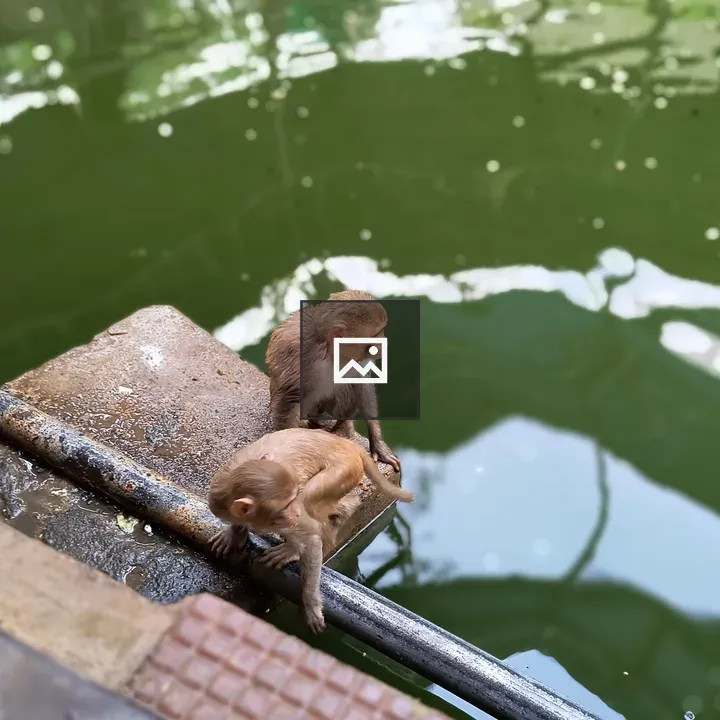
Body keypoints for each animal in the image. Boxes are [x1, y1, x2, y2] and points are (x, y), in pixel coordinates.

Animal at [207, 428, 414, 632]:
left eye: (291, 500)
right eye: (284, 507)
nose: (295, 513)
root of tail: (347, 443)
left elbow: (311, 538)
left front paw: (310, 604)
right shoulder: (217, 499)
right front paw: (234, 534)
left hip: (343, 470)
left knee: (311, 499)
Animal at [265, 289, 401, 473]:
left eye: (381, 332)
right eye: (374, 337)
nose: (382, 347)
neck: (330, 351)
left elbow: (361, 381)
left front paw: (378, 445)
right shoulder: (301, 358)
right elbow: (289, 399)